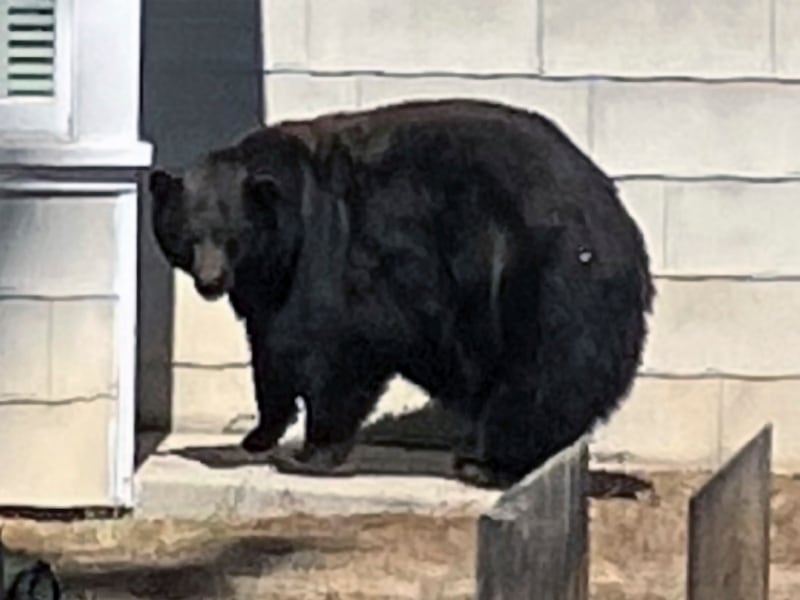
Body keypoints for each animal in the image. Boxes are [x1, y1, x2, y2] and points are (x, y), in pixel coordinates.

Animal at [149, 98, 655, 489]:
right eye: (188, 235)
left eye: (232, 236)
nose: (210, 281)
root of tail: (621, 223)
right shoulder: (269, 287)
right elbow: (272, 352)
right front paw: (258, 435)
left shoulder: (338, 255)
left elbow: (337, 349)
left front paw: (309, 452)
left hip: (542, 277)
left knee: (542, 374)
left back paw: (488, 463)